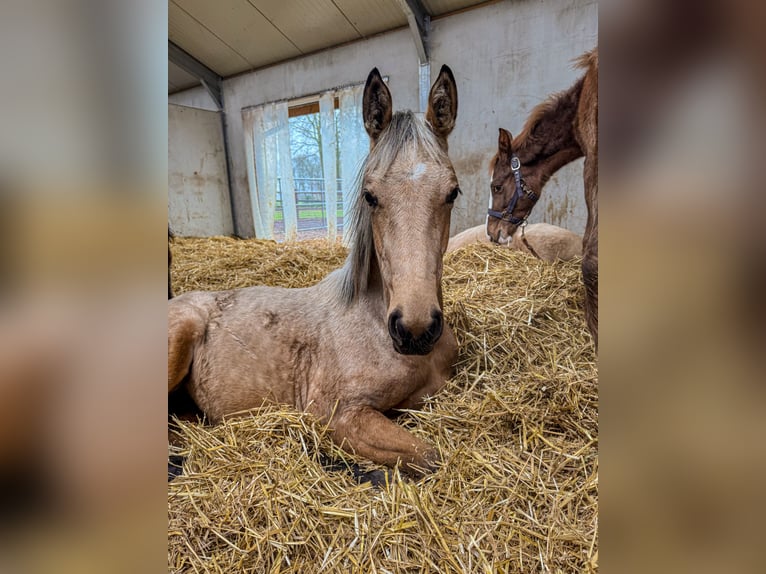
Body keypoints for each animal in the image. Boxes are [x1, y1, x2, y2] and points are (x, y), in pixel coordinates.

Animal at [169, 65, 462, 474]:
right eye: (370, 196)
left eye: (452, 192)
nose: (415, 329)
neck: (371, 318)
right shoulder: (340, 415)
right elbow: (429, 456)